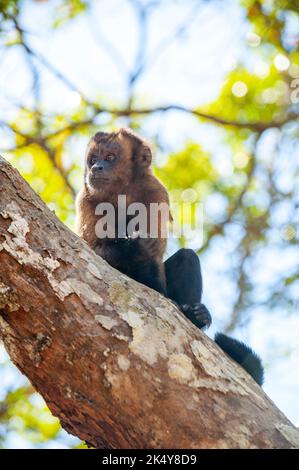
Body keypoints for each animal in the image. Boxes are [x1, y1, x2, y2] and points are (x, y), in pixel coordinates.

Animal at [75, 126, 264, 384]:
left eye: (110, 157)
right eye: (93, 159)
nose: (97, 168)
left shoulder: (156, 192)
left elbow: (155, 253)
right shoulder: (86, 199)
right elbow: (93, 250)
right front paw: (126, 244)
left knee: (187, 257)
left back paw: (195, 317)